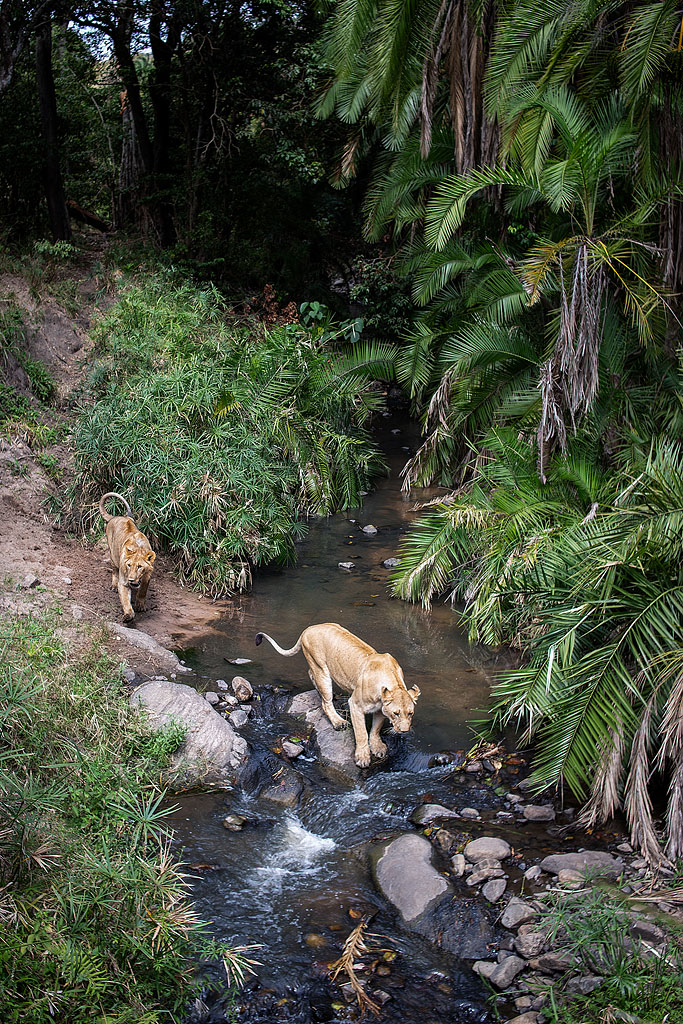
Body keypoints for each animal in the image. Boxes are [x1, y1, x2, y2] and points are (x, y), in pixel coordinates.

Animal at [99, 492, 155, 623]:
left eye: (140, 567)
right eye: (129, 565)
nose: (131, 579)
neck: (138, 549)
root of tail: (116, 517)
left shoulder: (148, 574)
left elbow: (143, 590)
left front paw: (140, 605)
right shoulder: (123, 581)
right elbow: (125, 600)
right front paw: (128, 615)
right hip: (113, 555)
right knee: (114, 571)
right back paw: (114, 586)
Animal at [255, 623, 420, 767]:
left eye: (410, 713)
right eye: (396, 713)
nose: (404, 731)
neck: (394, 682)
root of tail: (308, 629)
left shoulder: (380, 708)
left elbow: (375, 729)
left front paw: (378, 747)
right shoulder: (355, 705)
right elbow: (361, 732)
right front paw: (362, 757)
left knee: (311, 674)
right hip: (321, 670)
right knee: (325, 701)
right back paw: (338, 722)